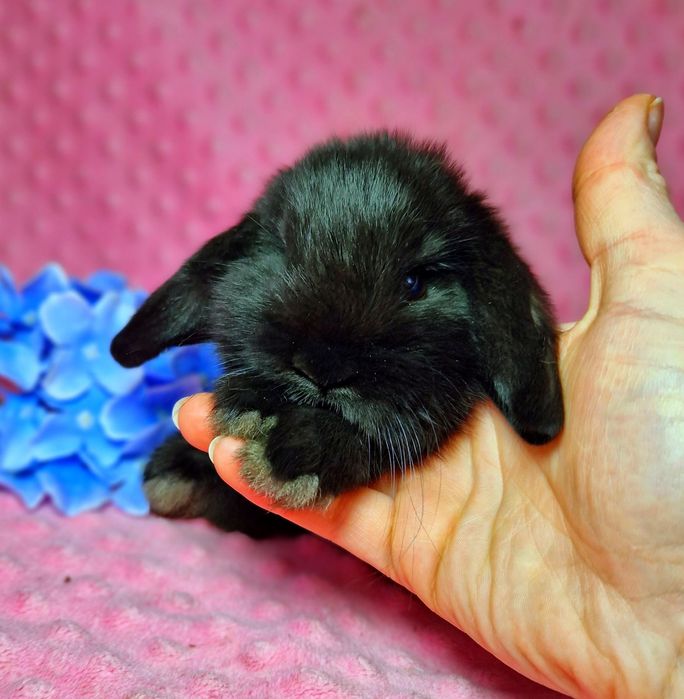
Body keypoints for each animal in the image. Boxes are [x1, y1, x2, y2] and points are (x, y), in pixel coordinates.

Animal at [111, 132, 563, 538]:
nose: (322, 366)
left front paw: (297, 454)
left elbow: (389, 436)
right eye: (284, 254)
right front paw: (247, 410)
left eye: (415, 282)